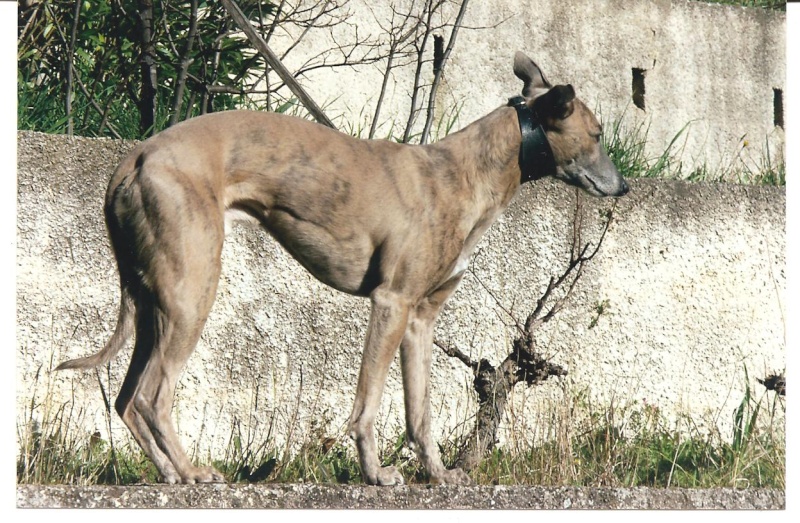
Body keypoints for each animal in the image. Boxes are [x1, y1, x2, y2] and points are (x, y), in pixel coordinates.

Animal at [59, 52, 628, 488]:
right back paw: (194, 471)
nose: (623, 186)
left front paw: (439, 476)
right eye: (598, 133)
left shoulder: (421, 318)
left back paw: (171, 473)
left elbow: (420, 411)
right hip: (191, 294)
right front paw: (376, 474)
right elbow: (369, 403)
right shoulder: (391, 302)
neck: (464, 173)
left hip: (153, 301)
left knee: (127, 398)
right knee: (153, 395)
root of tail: (134, 158)